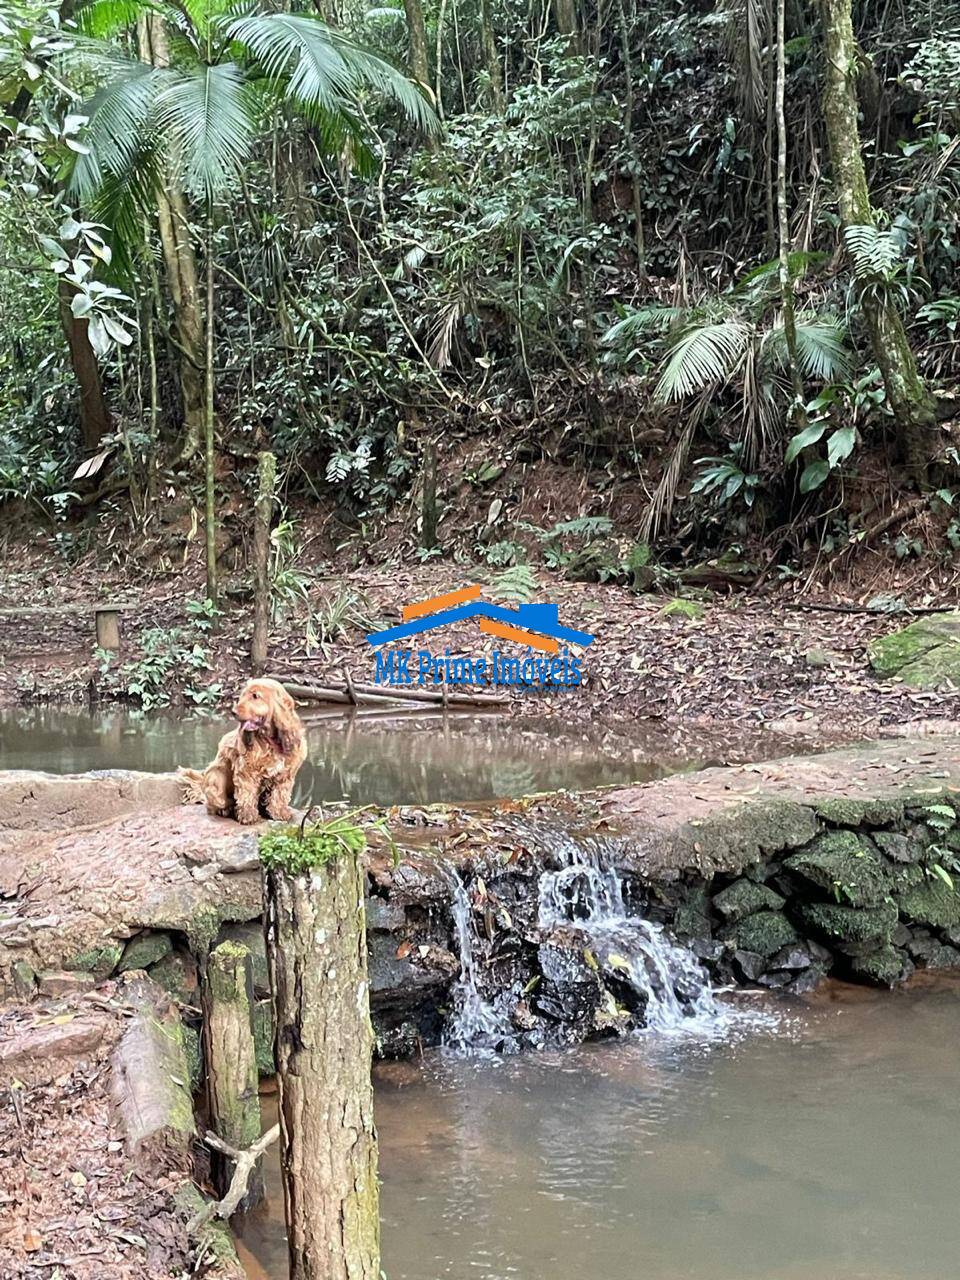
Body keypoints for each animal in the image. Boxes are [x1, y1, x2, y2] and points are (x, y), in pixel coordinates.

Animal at [180, 675, 308, 824]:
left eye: (255, 696)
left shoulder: (285, 774)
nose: (233, 712)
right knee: (217, 804)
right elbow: (247, 794)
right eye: (243, 695)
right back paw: (227, 809)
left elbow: (280, 795)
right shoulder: (246, 771)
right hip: (215, 777)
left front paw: (279, 813)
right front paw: (248, 816)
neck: (271, 743)